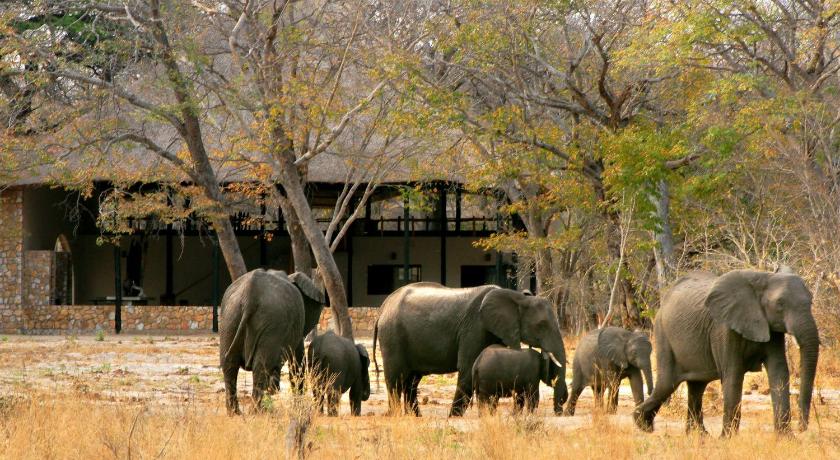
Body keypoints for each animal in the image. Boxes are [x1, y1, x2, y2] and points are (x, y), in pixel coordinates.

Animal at [219, 269, 325, 415]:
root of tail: (250, 294)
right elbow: (297, 363)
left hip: (230, 317)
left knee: (229, 363)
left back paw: (235, 413)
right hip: (270, 321)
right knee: (261, 367)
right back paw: (257, 412)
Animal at [373, 282, 567, 417]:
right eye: (541, 325)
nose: (561, 409)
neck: (516, 297)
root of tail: (383, 307)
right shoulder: (475, 328)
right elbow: (467, 370)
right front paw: (453, 418)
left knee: (411, 381)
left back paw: (416, 417)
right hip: (392, 336)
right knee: (396, 379)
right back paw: (395, 415)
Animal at [634, 267, 819, 436]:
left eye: (811, 302)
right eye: (780, 304)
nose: (802, 427)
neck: (764, 277)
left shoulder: (772, 329)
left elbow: (779, 372)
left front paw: (786, 438)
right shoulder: (723, 328)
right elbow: (733, 376)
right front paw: (728, 439)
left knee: (696, 386)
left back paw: (699, 436)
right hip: (662, 333)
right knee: (667, 383)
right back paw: (643, 425)